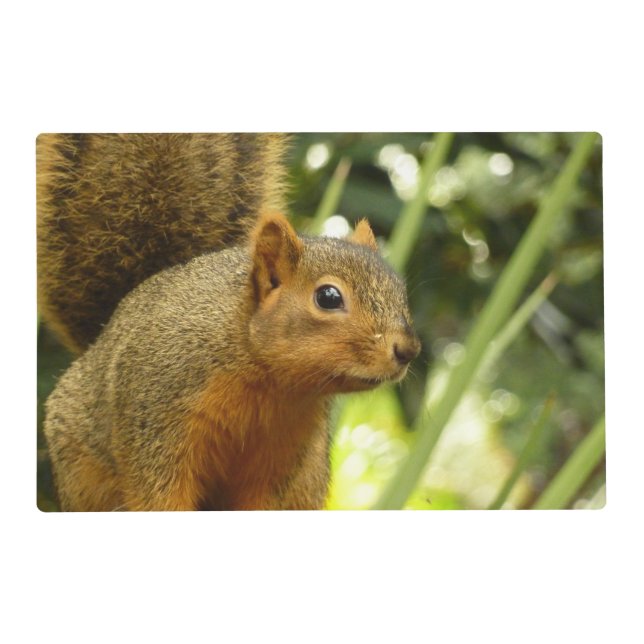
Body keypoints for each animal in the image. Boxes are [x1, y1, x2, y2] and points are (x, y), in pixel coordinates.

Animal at [37, 133, 421, 511]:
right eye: (328, 297)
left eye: (400, 290)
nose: (408, 350)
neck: (269, 382)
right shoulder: (158, 418)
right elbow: (159, 496)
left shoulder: (284, 456)